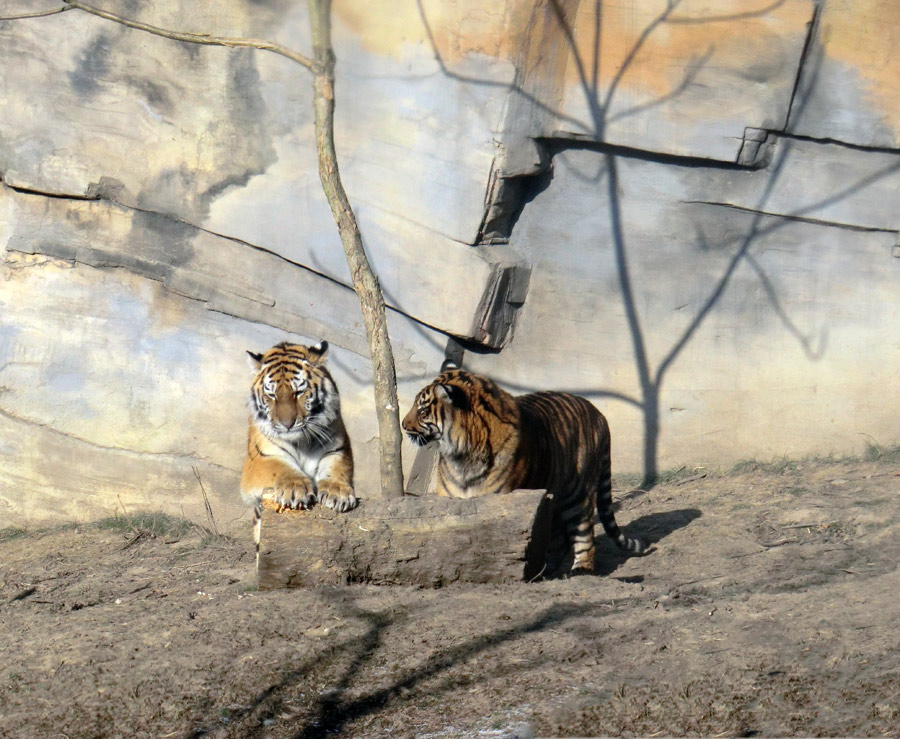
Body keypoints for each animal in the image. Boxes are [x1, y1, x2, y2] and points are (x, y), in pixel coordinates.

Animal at [241, 342, 356, 556]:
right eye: (272, 395)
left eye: (298, 392)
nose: (287, 424)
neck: (300, 441)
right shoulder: (261, 459)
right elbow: (281, 468)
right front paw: (294, 489)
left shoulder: (337, 449)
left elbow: (335, 470)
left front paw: (338, 493)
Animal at [400, 364, 648, 580]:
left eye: (423, 410)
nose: (403, 425)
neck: (460, 456)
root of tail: (599, 414)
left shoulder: (500, 498)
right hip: (553, 499)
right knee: (559, 538)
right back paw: (544, 571)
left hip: (578, 494)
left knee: (584, 533)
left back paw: (580, 570)